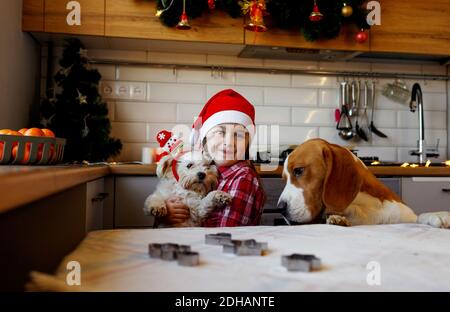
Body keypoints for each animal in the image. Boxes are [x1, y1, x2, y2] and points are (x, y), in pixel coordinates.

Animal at [280, 138, 448, 228]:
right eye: (284, 179)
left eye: (298, 171)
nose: (280, 208)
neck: (363, 206)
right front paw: (336, 219)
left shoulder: (404, 215)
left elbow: (420, 216)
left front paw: (439, 216)